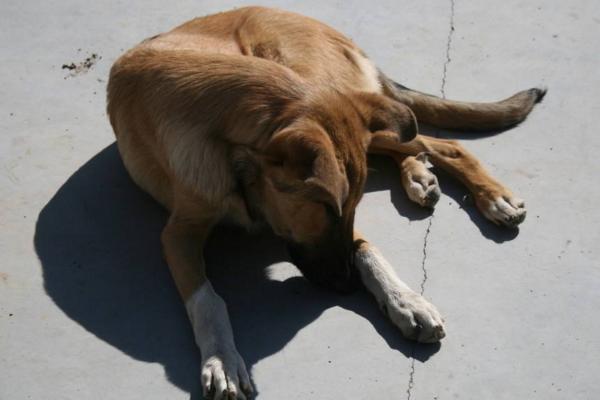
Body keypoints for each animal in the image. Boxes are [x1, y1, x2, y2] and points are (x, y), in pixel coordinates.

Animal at [106, 5, 544, 396]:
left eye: (347, 210)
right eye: (327, 211)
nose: (348, 284)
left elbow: (366, 247)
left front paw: (405, 300)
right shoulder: (178, 233)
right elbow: (207, 300)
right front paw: (223, 359)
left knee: (443, 143)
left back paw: (492, 197)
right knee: (417, 142)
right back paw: (419, 176)